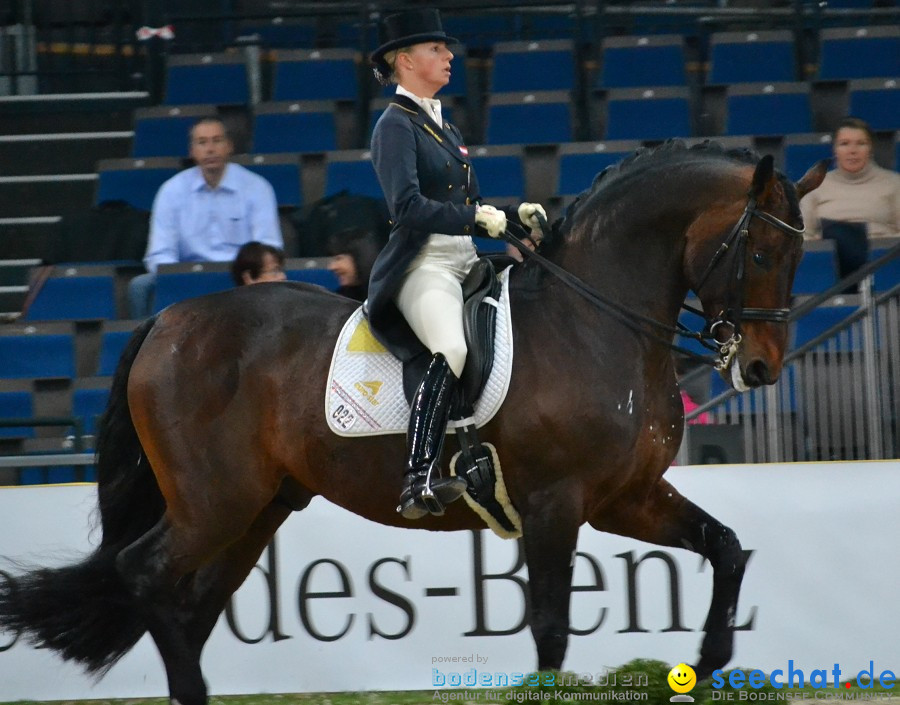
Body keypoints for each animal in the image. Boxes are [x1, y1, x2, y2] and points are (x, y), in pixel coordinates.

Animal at [0, 140, 824, 700]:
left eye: (797, 256)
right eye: (760, 250)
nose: (759, 369)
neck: (598, 321)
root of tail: (169, 319)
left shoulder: (627, 497)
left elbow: (727, 548)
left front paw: (709, 660)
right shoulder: (555, 504)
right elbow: (551, 627)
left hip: (256, 508)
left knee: (189, 606)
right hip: (214, 501)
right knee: (144, 574)